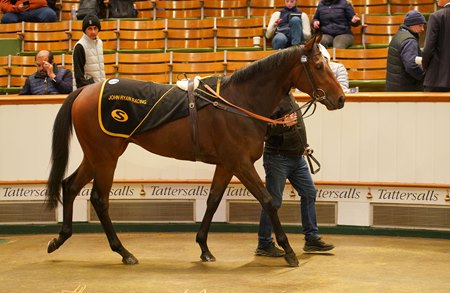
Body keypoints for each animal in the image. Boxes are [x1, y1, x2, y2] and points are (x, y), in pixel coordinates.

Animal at [45, 33, 344, 266]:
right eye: (319, 65)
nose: (340, 98)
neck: (238, 103)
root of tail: (84, 91)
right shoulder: (241, 163)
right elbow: (268, 201)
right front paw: (289, 251)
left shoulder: (226, 164)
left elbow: (213, 201)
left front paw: (204, 248)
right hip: (106, 157)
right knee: (99, 199)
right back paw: (123, 252)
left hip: (96, 156)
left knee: (70, 185)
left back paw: (60, 238)